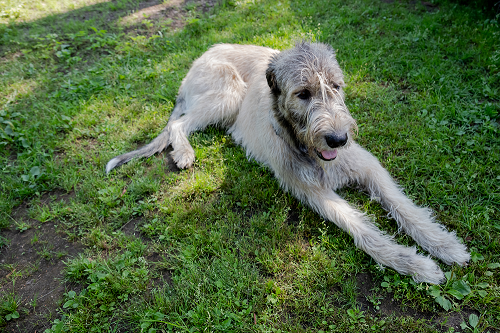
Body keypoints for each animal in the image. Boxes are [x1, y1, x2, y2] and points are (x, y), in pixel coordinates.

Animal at [105, 40, 468, 282]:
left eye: (336, 86)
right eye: (303, 94)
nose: (338, 139)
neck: (308, 149)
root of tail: (202, 55)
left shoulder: (366, 165)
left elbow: (403, 205)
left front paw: (444, 244)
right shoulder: (309, 189)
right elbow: (363, 229)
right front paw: (413, 263)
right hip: (227, 95)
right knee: (178, 125)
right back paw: (184, 152)